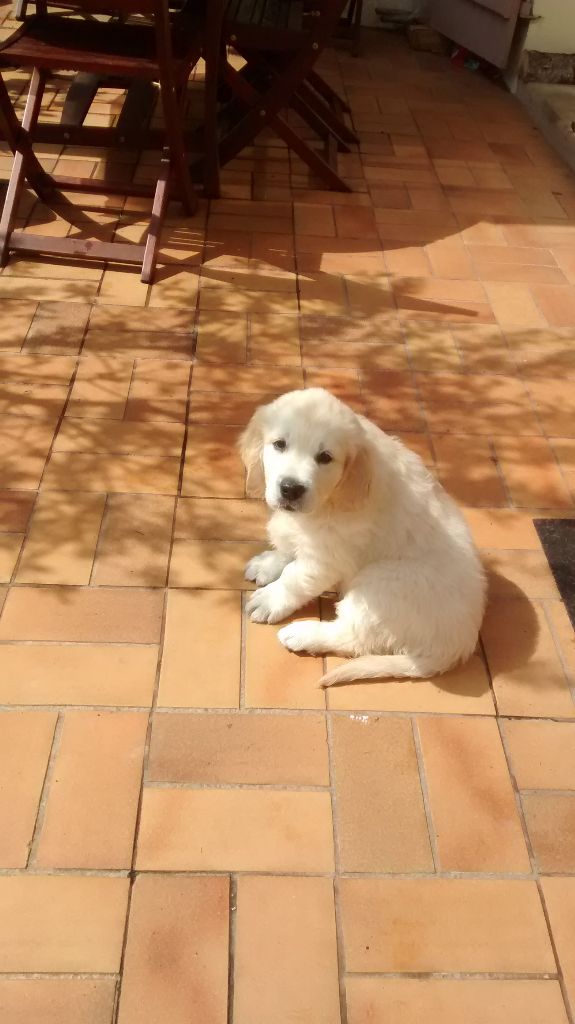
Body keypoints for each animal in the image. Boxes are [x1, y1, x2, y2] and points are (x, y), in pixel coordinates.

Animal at [239, 388, 486, 687]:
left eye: (325, 457)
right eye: (279, 444)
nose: (290, 489)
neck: (332, 498)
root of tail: (458, 646)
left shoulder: (328, 556)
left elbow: (295, 578)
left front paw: (270, 599)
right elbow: (288, 545)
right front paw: (268, 563)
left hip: (381, 583)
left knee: (353, 637)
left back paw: (303, 634)